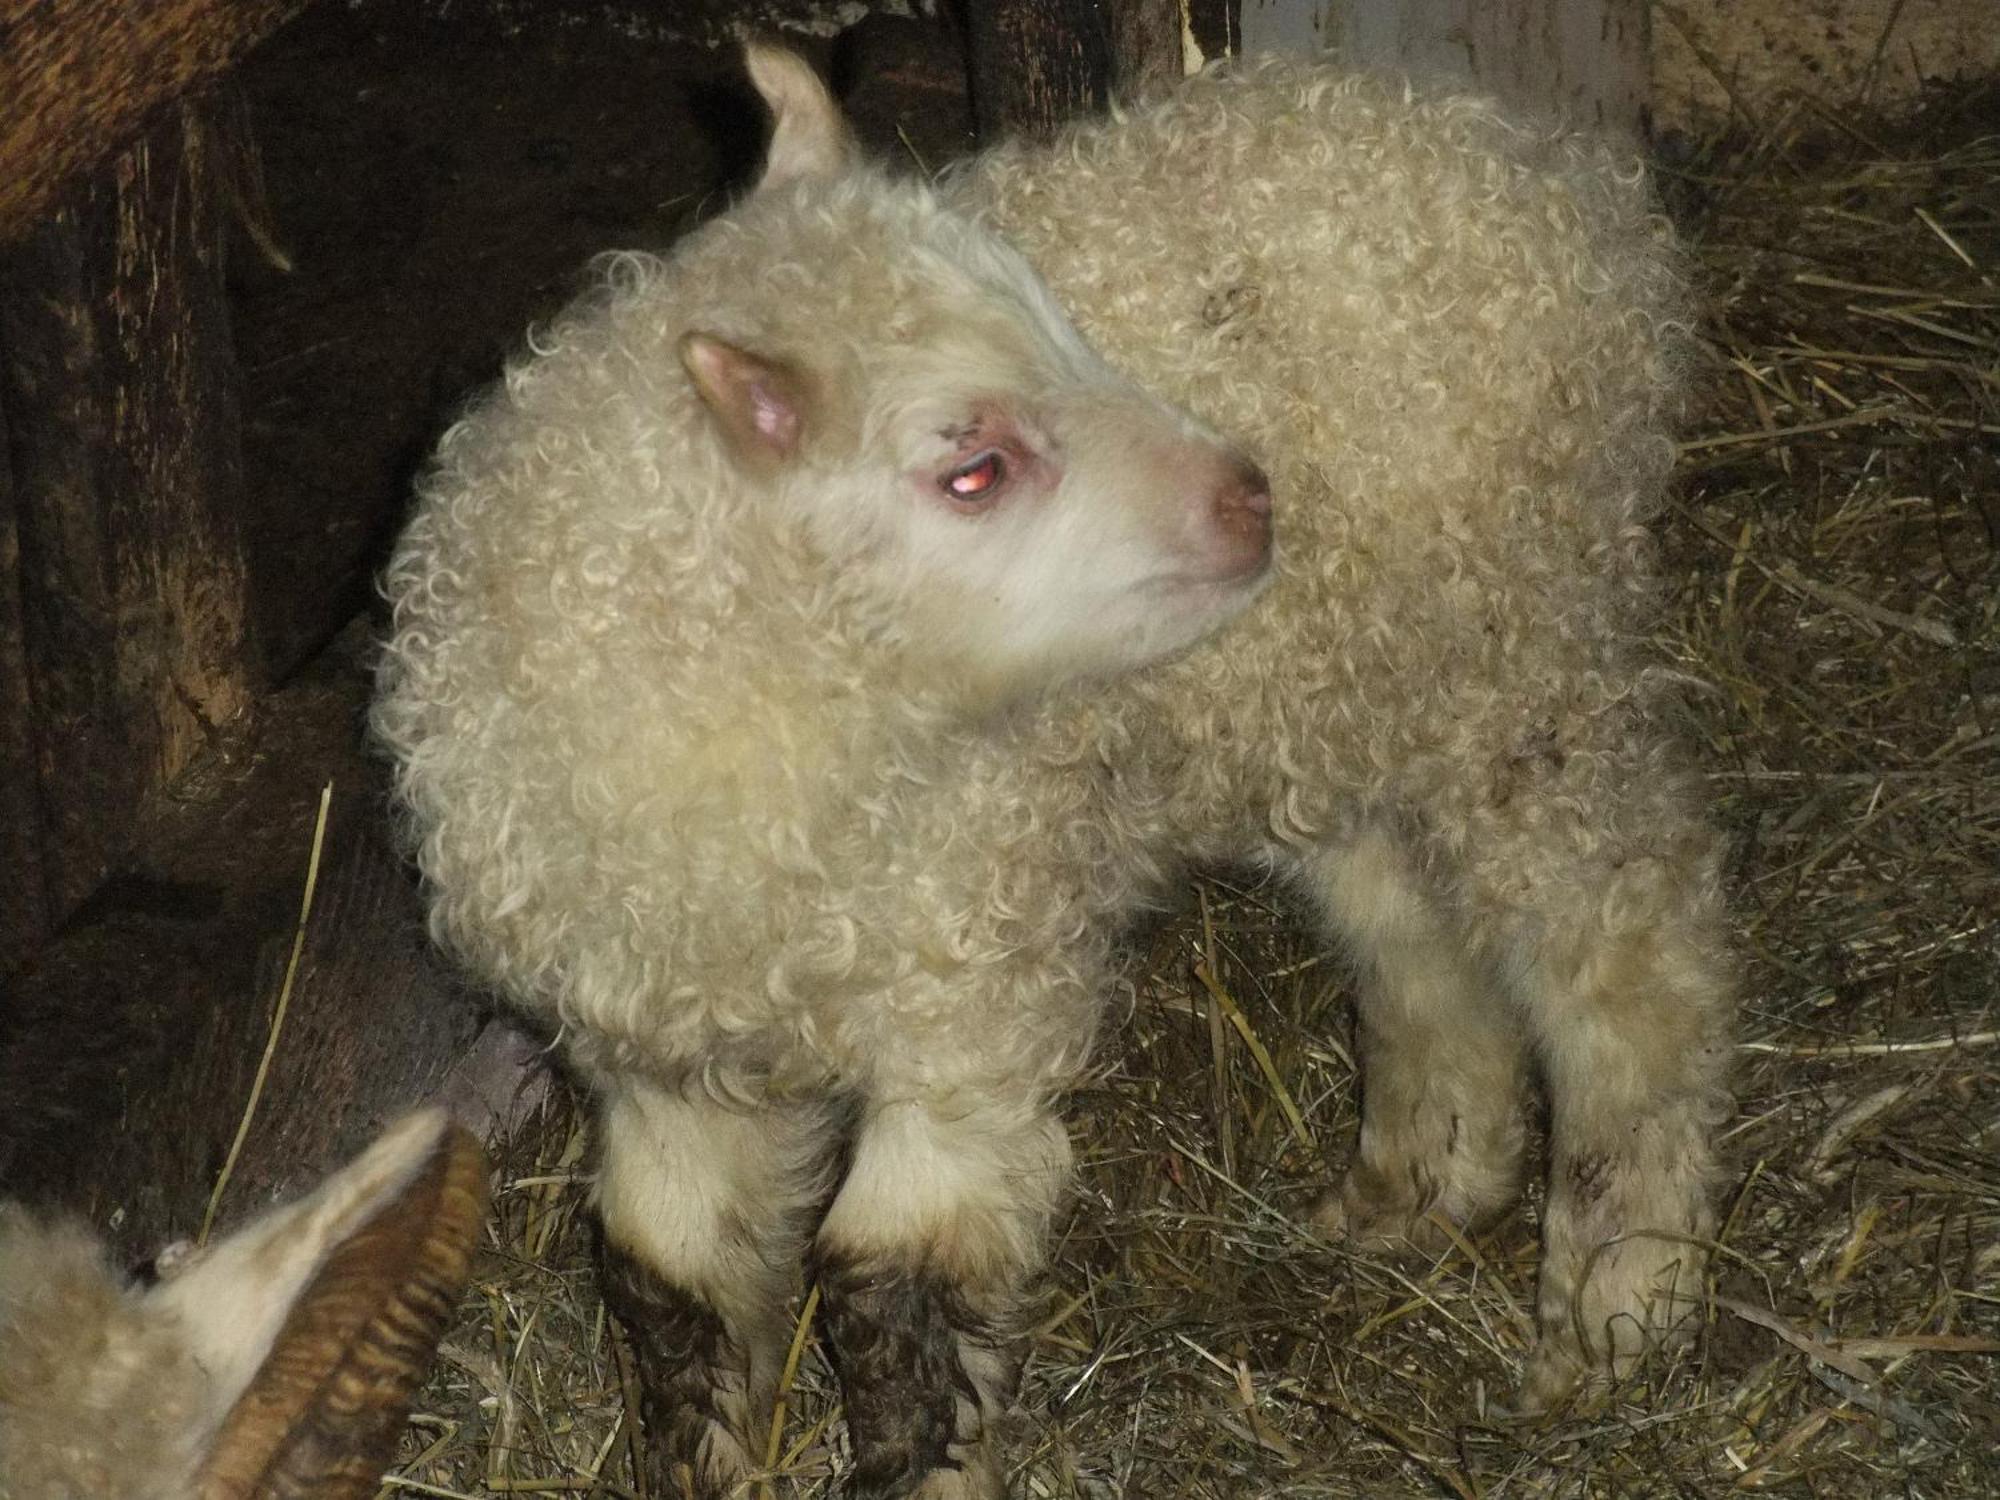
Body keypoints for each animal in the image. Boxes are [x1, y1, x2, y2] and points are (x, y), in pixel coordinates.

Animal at [376, 47, 1736, 1500]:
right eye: (973, 469)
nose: (1251, 496)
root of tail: (1538, 169)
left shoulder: (969, 984)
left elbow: (892, 1288)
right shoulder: (657, 1051)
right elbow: (669, 1285)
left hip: (1514, 648)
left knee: (1628, 944)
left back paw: (1615, 1307)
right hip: (1330, 699)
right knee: (1410, 930)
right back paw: (1417, 1184)